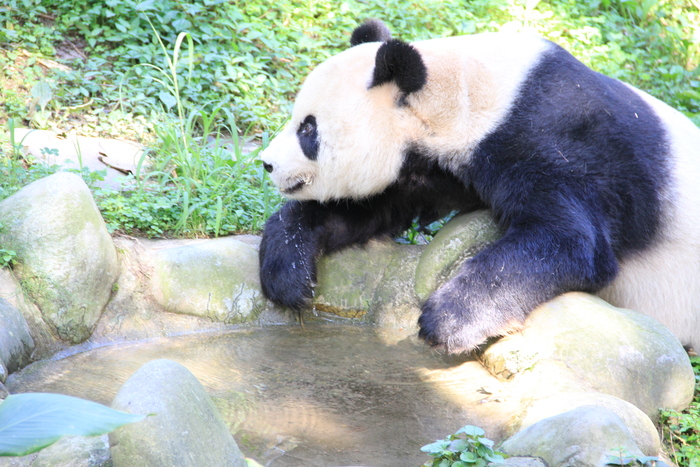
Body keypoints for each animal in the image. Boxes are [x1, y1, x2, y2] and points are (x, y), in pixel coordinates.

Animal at [258, 19, 700, 354]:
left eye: (308, 129)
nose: (267, 163)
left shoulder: (557, 141)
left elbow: (572, 240)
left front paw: (448, 320)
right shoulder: (439, 170)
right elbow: (375, 206)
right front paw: (287, 270)